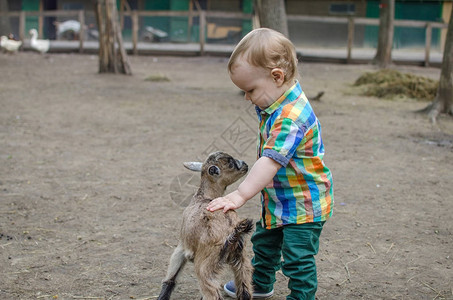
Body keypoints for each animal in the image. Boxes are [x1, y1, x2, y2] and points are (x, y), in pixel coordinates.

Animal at [157, 152, 252, 300]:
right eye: (230, 162)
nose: (245, 165)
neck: (204, 197)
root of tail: (233, 231)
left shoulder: (181, 246)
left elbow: (171, 276)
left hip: (206, 266)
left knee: (212, 293)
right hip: (241, 260)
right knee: (245, 290)